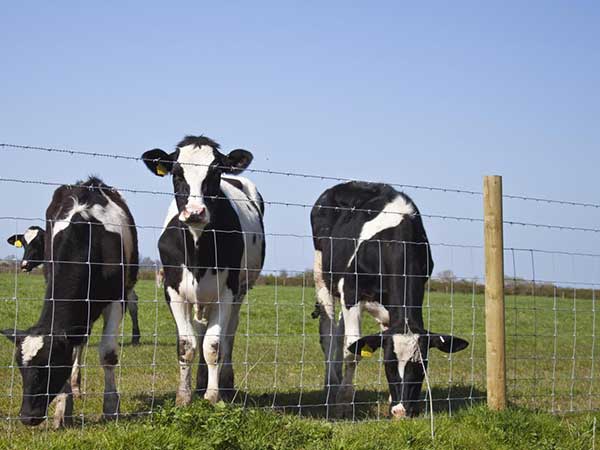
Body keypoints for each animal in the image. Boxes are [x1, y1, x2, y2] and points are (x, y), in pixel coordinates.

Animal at [1, 178, 139, 428]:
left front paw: (111, 408)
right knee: (79, 342)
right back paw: (75, 387)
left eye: (50, 365)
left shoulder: (117, 298)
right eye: (20, 368)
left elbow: (108, 354)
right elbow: (72, 349)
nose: (27, 416)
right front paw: (63, 407)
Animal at [142, 133, 264, 404]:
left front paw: (212, 395)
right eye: (177, 173)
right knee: (199, 330)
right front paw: (184, 396)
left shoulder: (227, 292)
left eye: (215, 173)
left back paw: (225, 382)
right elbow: (187, 344)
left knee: (228, 332)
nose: (195, 212)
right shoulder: (173, 290)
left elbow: (214, 345)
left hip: (241, 290)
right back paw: (199, 381)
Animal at [312, 182, 472, 418]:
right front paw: (343, 402)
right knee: (329, 334)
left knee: (340, 333)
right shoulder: (351, 290)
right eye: (388, 365)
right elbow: (354, 350)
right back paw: (331, 386)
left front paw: (389, 399)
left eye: (422, 366)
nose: (401, 411)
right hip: (323, 274)